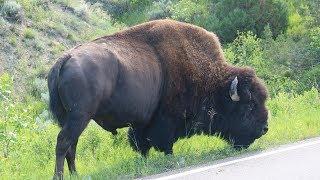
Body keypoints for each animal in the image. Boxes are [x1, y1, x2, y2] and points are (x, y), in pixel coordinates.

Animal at [47, 19, 268, 177]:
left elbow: (141, 142)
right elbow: (163, 141)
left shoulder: (142, 123)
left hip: (71, 118)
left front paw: (145, 159)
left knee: (72, 145)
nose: (265, 128)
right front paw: (169, 156)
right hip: (80, 116)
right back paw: (60, 176)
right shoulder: (166, 120)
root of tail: (65, 58)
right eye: (249, 106)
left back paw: (76, 174)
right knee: (64, 142)